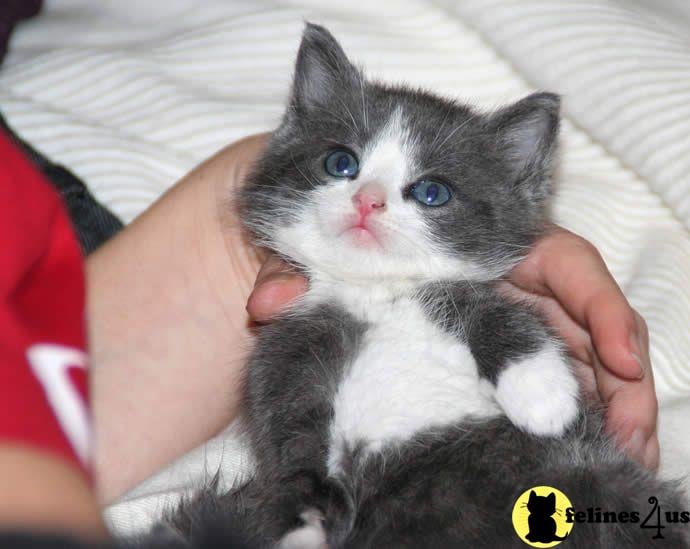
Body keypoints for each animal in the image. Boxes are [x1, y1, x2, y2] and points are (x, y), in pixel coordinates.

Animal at [149, 22, 684, 548]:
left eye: (431, 192)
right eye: (341, 163)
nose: (368, 200)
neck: (375, 298)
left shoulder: (452, 294)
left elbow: (503, 314)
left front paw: (544, 398)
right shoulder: (285, 356)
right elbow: (292, 452)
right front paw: (301, 525)